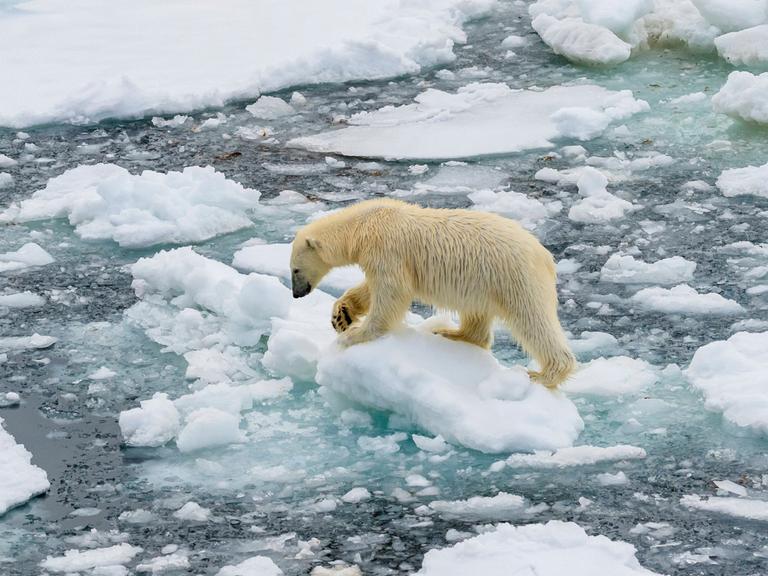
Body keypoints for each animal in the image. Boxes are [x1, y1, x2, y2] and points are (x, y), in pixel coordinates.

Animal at [290, 197, 576, 388]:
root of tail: (544, 255)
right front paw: (342, 315)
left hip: (513, 278)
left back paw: (543, 374)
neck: (365, 224)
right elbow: (372, 288)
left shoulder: (387, 249)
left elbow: (392, 292)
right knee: (477, 315)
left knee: (532, 319)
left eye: (295, 269)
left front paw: (354, 335)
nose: (296, 295)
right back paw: (451, 333)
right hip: (482, 282)